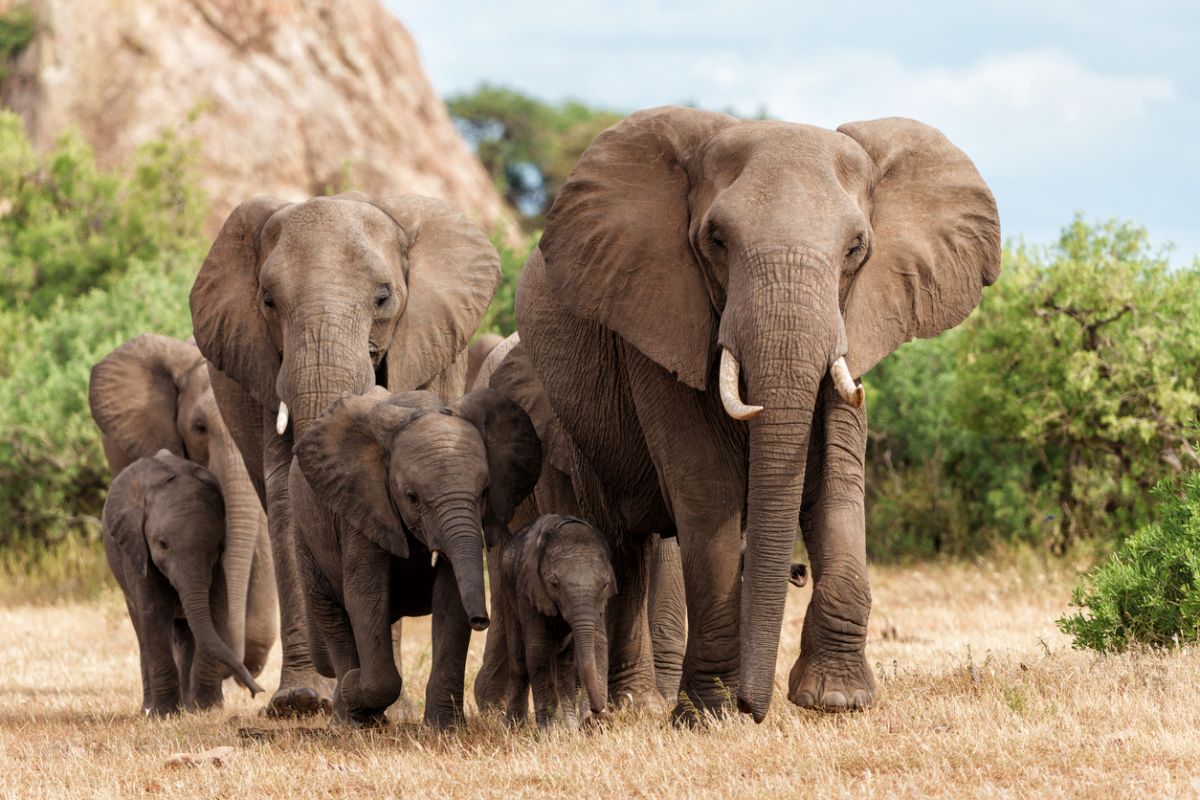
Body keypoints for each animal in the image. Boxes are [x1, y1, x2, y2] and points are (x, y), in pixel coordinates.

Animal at [101, 450, 264, 715]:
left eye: (219, 546)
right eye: (162, 544)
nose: (257, 691)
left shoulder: (217, 568)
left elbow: (216, 610)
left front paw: (207, 710)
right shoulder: (136, 550)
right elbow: (154, 614)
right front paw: (164, 714)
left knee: (187, 633)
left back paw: (188, 706)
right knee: (142, 631)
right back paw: (149, 709)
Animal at [292, 387, 541, 727]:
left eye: (485, 493)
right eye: (412, 498)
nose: (481, 620)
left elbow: (451, 598)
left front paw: (444, 728)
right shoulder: (362, 505)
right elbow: (365, 595)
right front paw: (355, 685)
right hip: (305, 533)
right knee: (332, 615)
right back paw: (351, 716)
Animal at [499, 514, 616, 728]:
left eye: (605, 585)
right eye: (554, 583)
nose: (598, 709)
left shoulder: (600, 602)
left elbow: (597, 642)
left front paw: (594, 724)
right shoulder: (529, 589)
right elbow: (539, 648)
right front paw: (549, 731)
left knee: (565, 663)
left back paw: (569, 725)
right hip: (507, 590)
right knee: (519, 662)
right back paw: (514, 728)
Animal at [512, 106, 1000, 722]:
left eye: (856, 248)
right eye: (716, 240)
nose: (756, 706)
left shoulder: (854, 323)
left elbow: (836, 480)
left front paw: (835, 699)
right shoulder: (658, 315)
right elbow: (707, 486)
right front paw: (710, 714)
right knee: (622, 546)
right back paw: (632, 709)